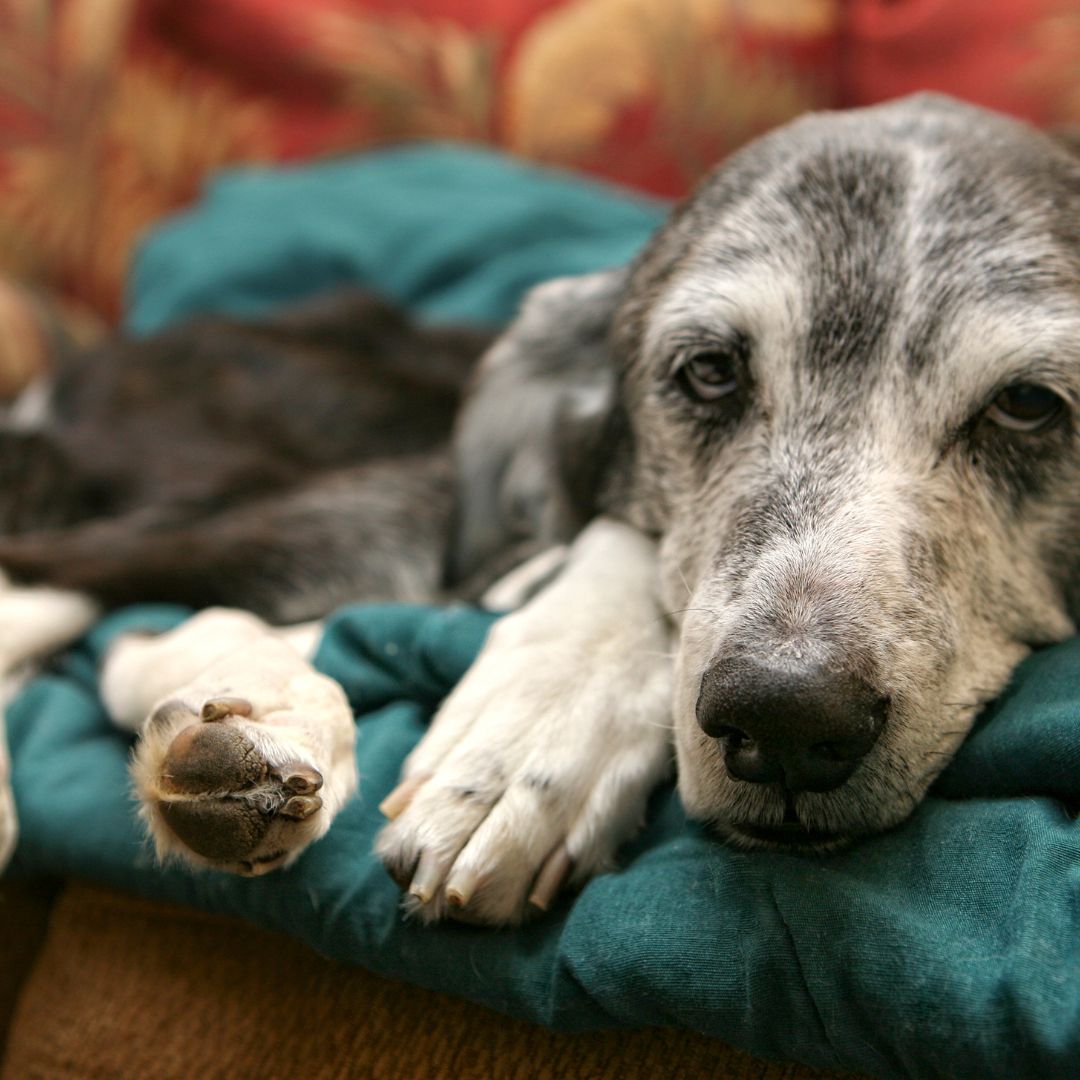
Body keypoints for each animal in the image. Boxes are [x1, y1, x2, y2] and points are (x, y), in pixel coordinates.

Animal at [4, 92, 1075, 924]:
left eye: (1028, 405)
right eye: (710, 372)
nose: (786, 719)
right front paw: (532, 730)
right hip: (353, 506)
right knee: (80, 595)